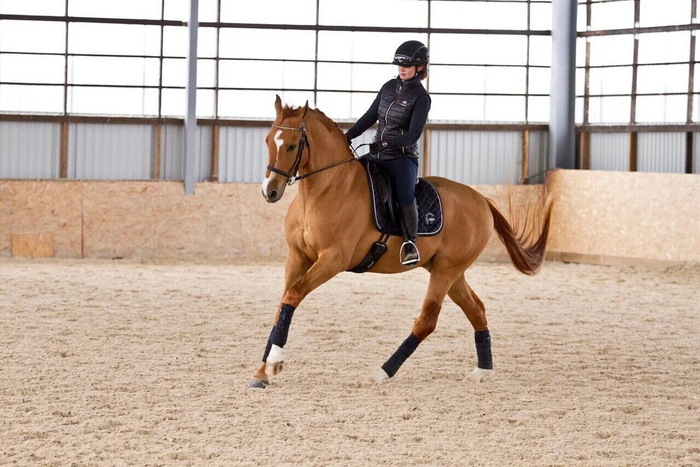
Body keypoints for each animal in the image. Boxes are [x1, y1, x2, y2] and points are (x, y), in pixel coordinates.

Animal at [252, 97, 552, 390]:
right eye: (267, 141)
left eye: (292, 145)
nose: (270, 192)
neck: (326, 190)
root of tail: (482, 201)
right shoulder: (297, 257)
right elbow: (283, 304)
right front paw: (262, 371)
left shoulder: (332, 259)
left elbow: (293, 296)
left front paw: (274, 362)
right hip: (451, 272)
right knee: (476, 309)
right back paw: (481, 371)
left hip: (445, 272)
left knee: (426, 322)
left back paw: (381, 373)